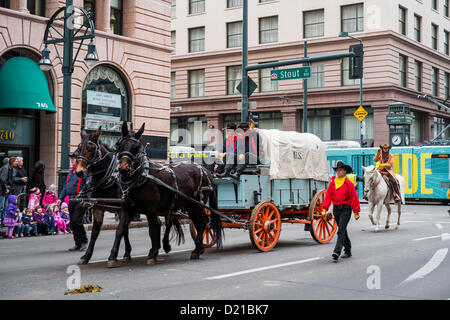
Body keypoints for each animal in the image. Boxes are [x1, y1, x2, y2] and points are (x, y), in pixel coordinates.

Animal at [107, 121, 223, 266]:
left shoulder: (150, 210)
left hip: (197, 204)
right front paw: (112, 256)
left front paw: (152, 254)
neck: (140, 176)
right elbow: (120, 230)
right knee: (198, 222)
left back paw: (197, 249)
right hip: (190, 205)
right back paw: (199, 247)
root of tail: (206, 171)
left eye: (137, 147)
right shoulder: (126, 208)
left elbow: (152, 230)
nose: (123, 169)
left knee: (202, 222)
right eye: (120, 144)